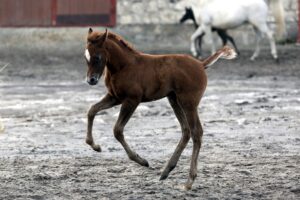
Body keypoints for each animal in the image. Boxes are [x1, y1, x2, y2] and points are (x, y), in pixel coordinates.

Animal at [84, 27, 237, 189]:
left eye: (97, 57)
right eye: (86, 57)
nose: (91, 80)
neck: (124, 67)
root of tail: (201, 64)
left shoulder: (131, 100)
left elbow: (117, 130)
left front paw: (141, 161)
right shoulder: (114, 97)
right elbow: (92, 110)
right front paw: (95, 146)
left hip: (189, 103)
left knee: (196, 132)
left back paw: (189, 181)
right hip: (174, 100)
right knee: (186, 131)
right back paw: (166, 171)